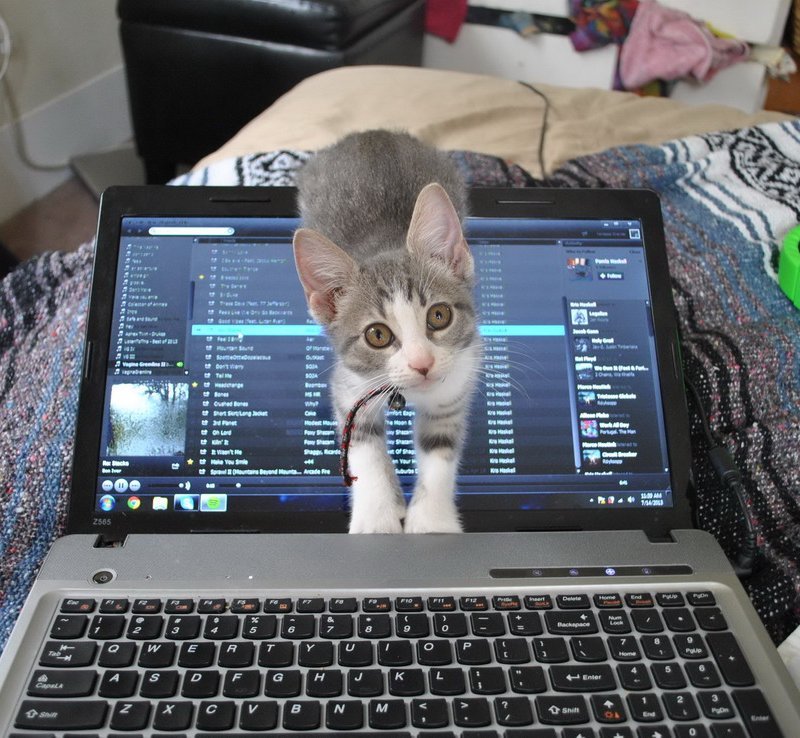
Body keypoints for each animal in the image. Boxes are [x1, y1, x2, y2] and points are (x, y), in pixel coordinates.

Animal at [293, 130, 482, 534]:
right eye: (377, 335)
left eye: (439, 315)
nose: (422, 363)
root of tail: (371, 134)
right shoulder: (348, 384)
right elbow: (363, 449)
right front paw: (377, 516)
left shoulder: (459, 377)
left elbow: (440, 450)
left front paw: (432, 520)